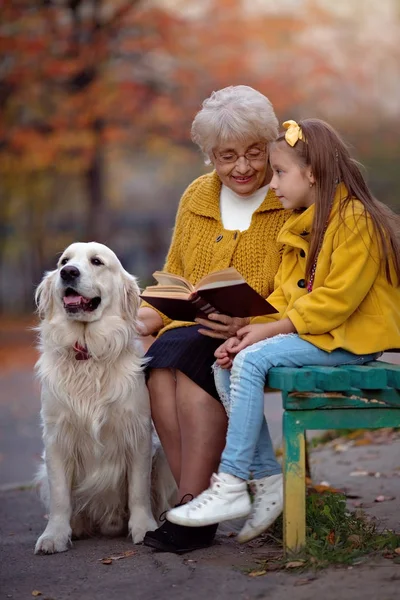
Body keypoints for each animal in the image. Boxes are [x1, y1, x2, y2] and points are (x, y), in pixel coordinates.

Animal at [35, 240, 175, 552]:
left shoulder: (138, 433)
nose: (68, 273)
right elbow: (60, 496)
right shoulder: (56, 437)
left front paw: (144, 528)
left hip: (162, 457)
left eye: (97, 262)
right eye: (64, 261)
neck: (88, 352)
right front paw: (55, 534)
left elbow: (138, 491)